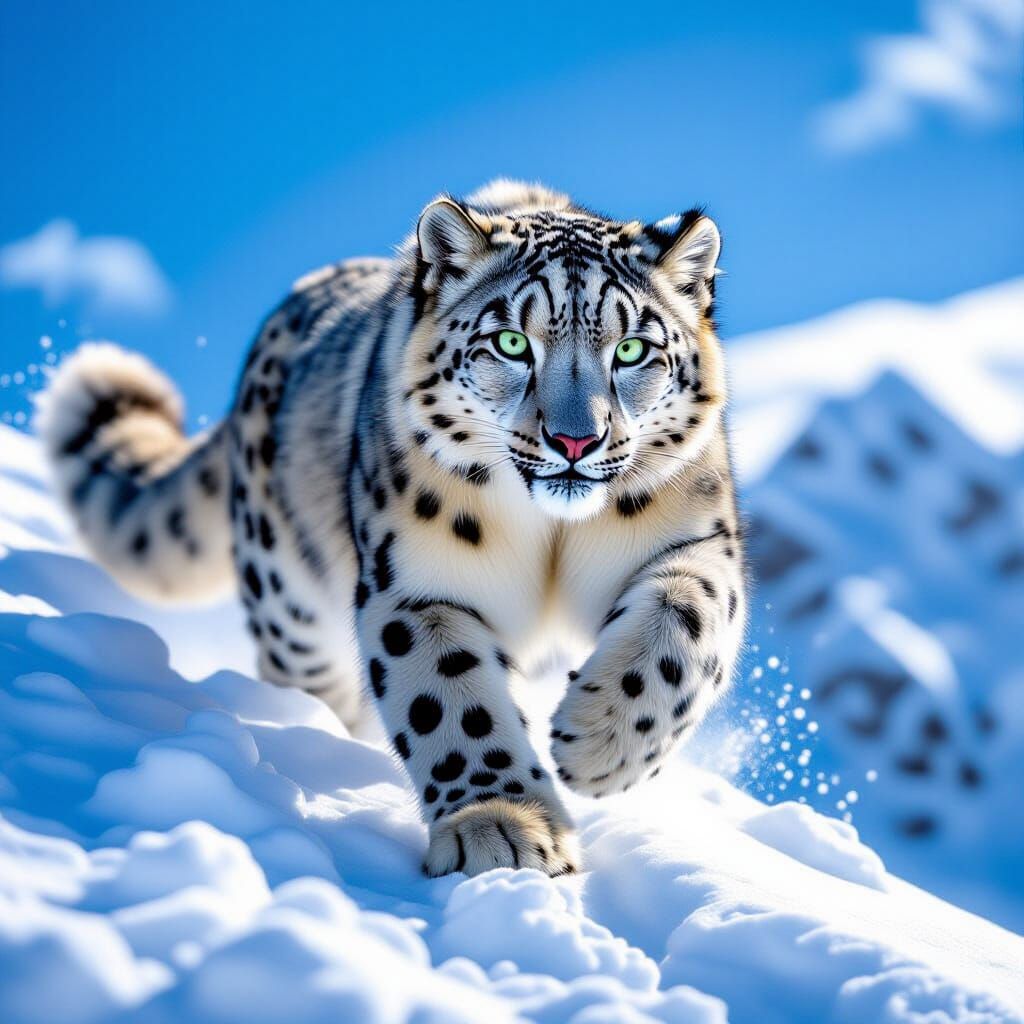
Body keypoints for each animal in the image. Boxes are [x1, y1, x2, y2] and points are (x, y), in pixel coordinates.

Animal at [38, 180, 746, 877]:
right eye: (512, 343)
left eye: (632, 350)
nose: (576, 440)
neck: (551, 538)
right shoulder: (416, 583)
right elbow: (451, 701)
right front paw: (502, 828)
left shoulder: (699, 539)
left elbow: (686, 620)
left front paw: (598, 748)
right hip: (290, 608)